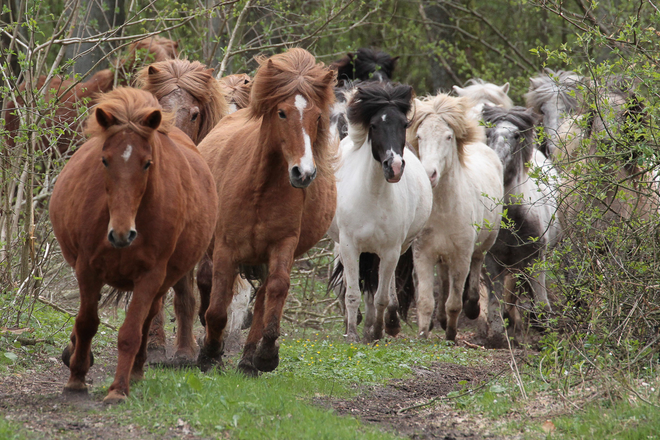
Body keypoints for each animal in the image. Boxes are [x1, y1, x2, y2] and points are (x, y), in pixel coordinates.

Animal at [52, 87, 217, 404]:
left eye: (147, 163)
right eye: (105, 160)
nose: (121, 234)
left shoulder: (150, 276)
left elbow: (131, 332)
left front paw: (118, 389)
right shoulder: (87, 269)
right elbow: (87, 322)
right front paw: (76, 378)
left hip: (163, 281)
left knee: (148, 319)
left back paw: (137, 370)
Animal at [197, 49, 338, 376]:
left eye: (317, 117)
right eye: (282, 113)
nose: (304, 173)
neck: (259, 188)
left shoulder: (282, 245)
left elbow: (276, 289)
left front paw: (267, 354)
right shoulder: (225, 249)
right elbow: (218, 306)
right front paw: (210, 354)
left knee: (262, 298)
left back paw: (249, 360)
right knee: (209, 286)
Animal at [328, 82, 434, 344]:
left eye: (403, 125)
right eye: (374, 125)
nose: (394, 167)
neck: (373, 195)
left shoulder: (390, 249)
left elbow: (382, 296)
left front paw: (376, 330)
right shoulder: (349, 245)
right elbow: (353, 293)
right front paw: (352, 333)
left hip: (396, 249)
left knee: (385, 288)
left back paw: (387, 323)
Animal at [404, 93, 502, 340]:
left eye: (448, 137)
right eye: (419, 136)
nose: (429, 174)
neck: (443, 211)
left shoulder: (461, 256)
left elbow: (455, 302)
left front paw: (450, 334)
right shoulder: (423, 254)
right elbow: (425, 300)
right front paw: (423, 333)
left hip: (483, 245)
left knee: (476, 266)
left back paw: (472, 307)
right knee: (443, 278)